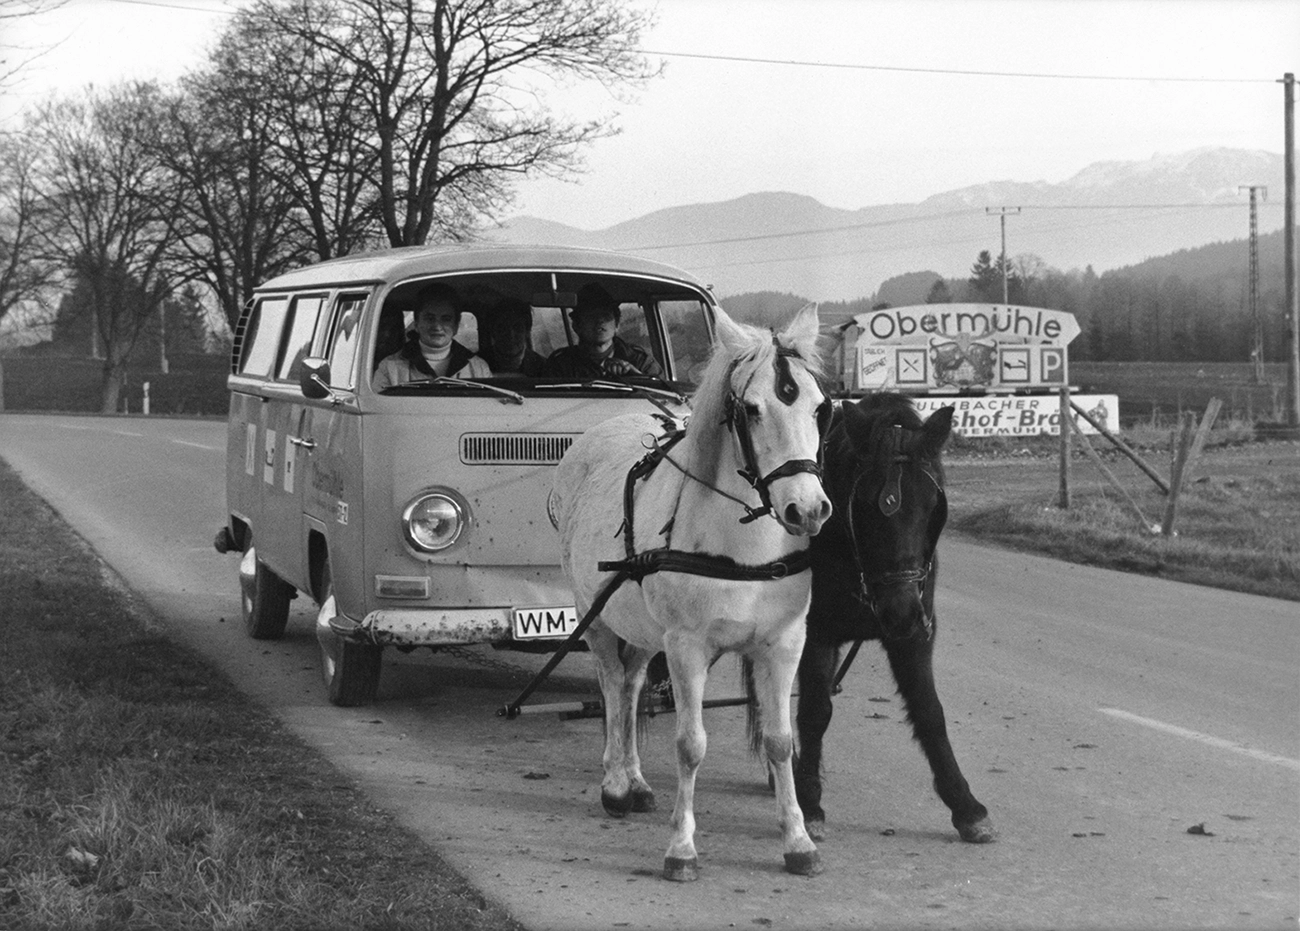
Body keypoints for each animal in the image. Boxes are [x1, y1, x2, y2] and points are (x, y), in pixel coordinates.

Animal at [548, 305, 832, 878]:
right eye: (751, 410)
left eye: (820, 408)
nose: (808, 510)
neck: (744, 549)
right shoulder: (686, 646)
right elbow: (690, 745)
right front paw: (681, 847)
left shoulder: (783, 644)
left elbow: (780, 741)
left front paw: (796, 841)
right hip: (596, 614)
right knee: (612, 686)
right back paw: (615, 784)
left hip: (643, 628)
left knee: (632, 686)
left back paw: (634, 780)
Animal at [754, 390, 993, 842]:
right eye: (863, 504)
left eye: (932, 505)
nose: (899, 611)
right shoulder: (816, 632)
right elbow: (815, 711)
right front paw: (809, 801)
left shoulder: (916, 634)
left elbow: (929, 711)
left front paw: (965, 805)